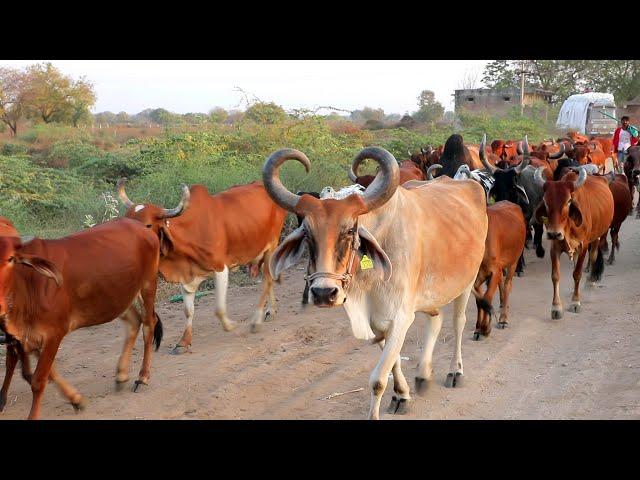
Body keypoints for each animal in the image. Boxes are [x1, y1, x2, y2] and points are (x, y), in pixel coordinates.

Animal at [0, 218, 162, 420]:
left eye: (10, 259)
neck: (27, 284)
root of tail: (141, 226)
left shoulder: (54, 334)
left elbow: (38, 380)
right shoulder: (25, 339)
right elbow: (46, 374)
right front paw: (76, 399)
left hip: (148, 285)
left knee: (148, 325)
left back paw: (142, 377)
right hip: (117, 297)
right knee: (134, 321)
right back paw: (121, 375)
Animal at [117, 176, 288, 348]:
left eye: (148, 225)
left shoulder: (220, 268)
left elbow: (219, 309)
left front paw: (231, 326)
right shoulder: (185, 275)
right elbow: (188, 310)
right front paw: (183, 342)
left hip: (272, 246)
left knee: (267, 280)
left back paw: (259, 319)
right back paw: (272, 311)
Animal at [262, 146, 488, 420]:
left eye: (350, 231)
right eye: (307, 232)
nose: (324, 293)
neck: (368, 280)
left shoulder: (400, 317)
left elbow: (378, 379)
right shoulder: (377, 320)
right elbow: (394, 361)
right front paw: (401, 394)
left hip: (466, 281)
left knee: (458, 322)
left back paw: (455, 371)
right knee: (436, 319)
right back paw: (423, 375)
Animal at [472, 201, 528, 340]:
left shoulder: (495, 270)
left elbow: (487, 297)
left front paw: (485, 328)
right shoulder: (477, 276)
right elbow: (480, 300)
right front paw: (478, 328)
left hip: (514, 261)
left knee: (507, 285)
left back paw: (503, 318)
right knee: (501, 284)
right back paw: (502, 306)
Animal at [528, 167, 616, 320]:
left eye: (569, 201)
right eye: (545, 200)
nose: (553, 234)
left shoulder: (583, 246)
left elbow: (577, 274)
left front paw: (575, 302)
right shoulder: (554, 248)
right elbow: (555, 276)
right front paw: (556, 307)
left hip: (597, 237)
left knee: (593, 256)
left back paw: (590, 281)